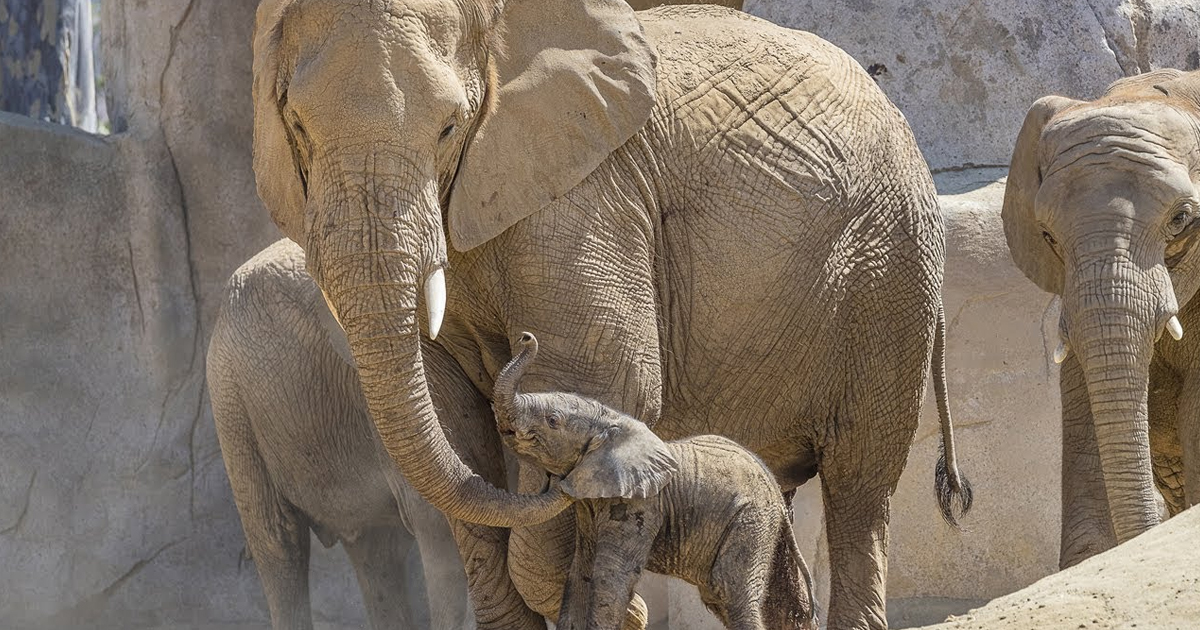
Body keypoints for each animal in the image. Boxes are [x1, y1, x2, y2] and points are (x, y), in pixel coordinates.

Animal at [489, 331, 816, 628]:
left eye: (553, 421)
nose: (526, 336)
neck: (611, 420)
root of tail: (775, 487)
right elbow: (581, 571)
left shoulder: (641, 504)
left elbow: (610, 577)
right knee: (717, 595)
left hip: (751, 518)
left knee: (729, 588)